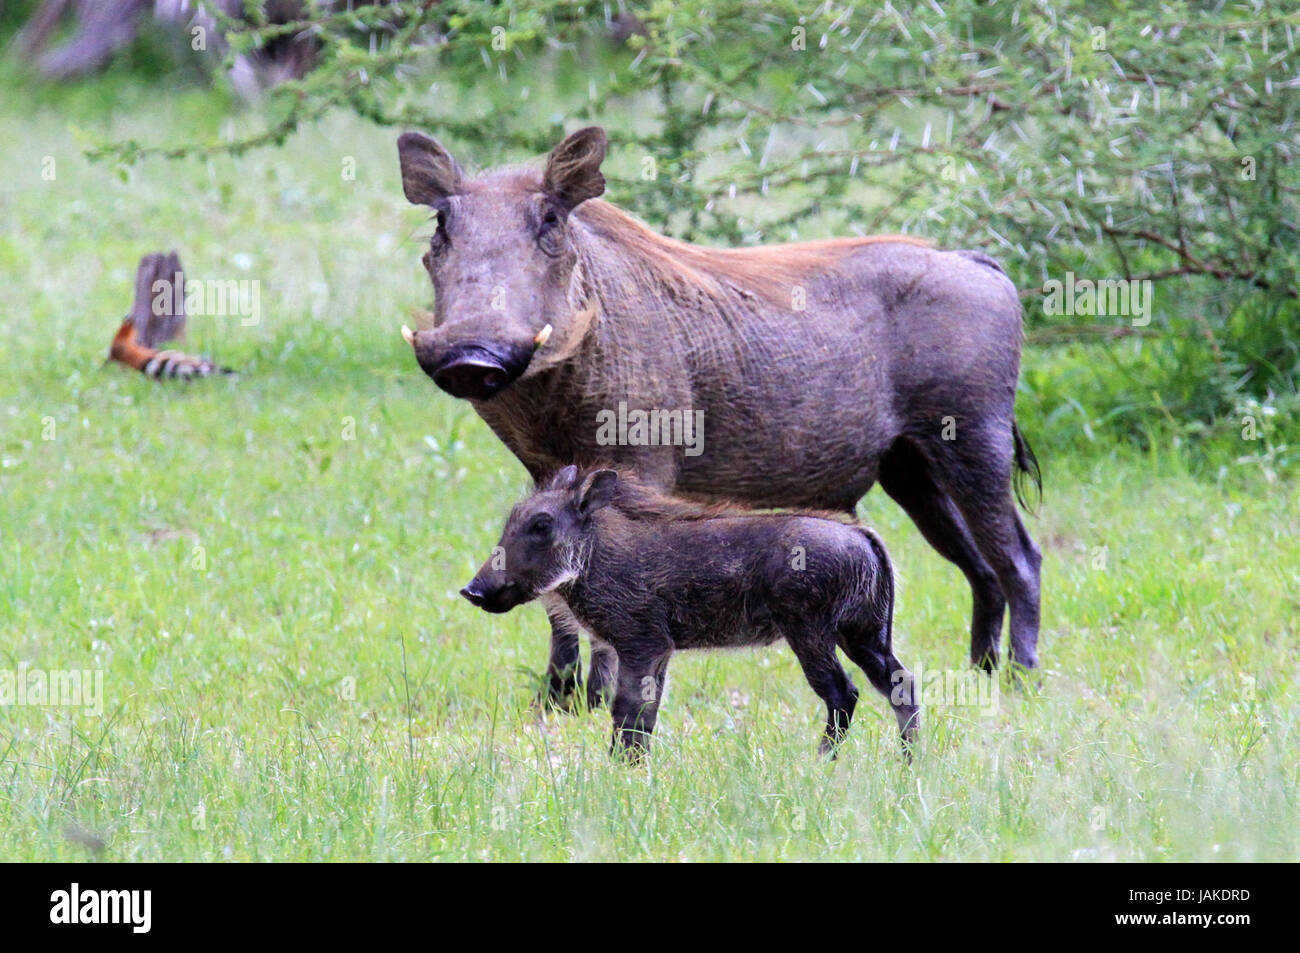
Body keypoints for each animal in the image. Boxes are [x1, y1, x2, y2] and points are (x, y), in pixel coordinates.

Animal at [398, 126, 1041, 709]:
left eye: (551, 221)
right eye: (441, 225)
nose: (470, 356)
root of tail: (976, 261)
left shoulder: (641, 464)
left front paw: (595, 700)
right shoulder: (543, 471)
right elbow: (556, 593)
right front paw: (557, 702)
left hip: (974, 441)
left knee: (1019, 559)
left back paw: (1021, 679)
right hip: (911, 471)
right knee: (979, 567)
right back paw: (980, 674)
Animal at [461, 466, 920, 758]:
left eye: (541, 525)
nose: (472, 590)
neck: (593, 557)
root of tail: (860, 535)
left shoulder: (641, 641)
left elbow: (628, 714)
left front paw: (619, 772)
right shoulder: (656, 650)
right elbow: (643, 716)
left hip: (811, 632)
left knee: (845, 693)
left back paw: (821, 761)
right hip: (864, 633)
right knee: (901, 684)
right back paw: (909, 763)